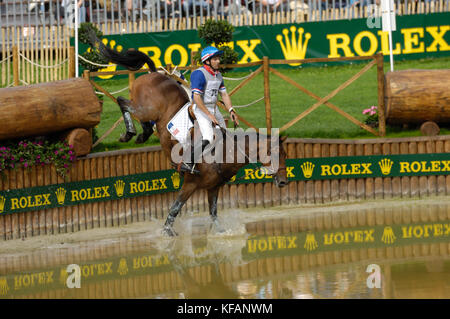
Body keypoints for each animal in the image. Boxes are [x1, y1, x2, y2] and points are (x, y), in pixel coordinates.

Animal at [89, 31, 288, 236]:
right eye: (275, 154)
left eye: (285, 155)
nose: (283, 182)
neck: (226, 152)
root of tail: (155, 74)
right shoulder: (190, 184)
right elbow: (175, 208)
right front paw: (167, 232)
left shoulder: (213, 188)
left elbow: (214, 215)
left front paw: (220, 233)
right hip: (146, 109)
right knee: (122, 101)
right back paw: (129, 132)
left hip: (148, 112)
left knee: (139, 117)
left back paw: (142, 134)